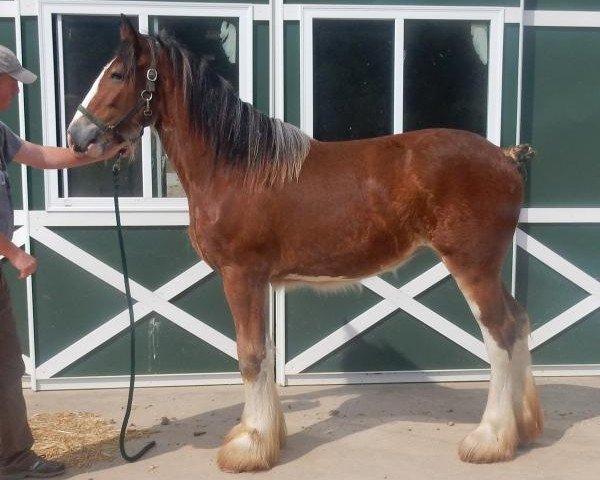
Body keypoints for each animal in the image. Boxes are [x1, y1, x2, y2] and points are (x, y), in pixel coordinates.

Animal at [67, 17, 544, 472]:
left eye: (117, 74)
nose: (77, 137)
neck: (235, 168)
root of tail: (504, 157)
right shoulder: (258, 281)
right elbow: (264, 353)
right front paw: (263, 436)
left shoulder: (242, 275)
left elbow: (250, 356)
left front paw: (249, 447)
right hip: (487, 268)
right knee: (518, 322)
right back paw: (523, 428)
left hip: (472, 265)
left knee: (499, 335)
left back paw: (490, 439)